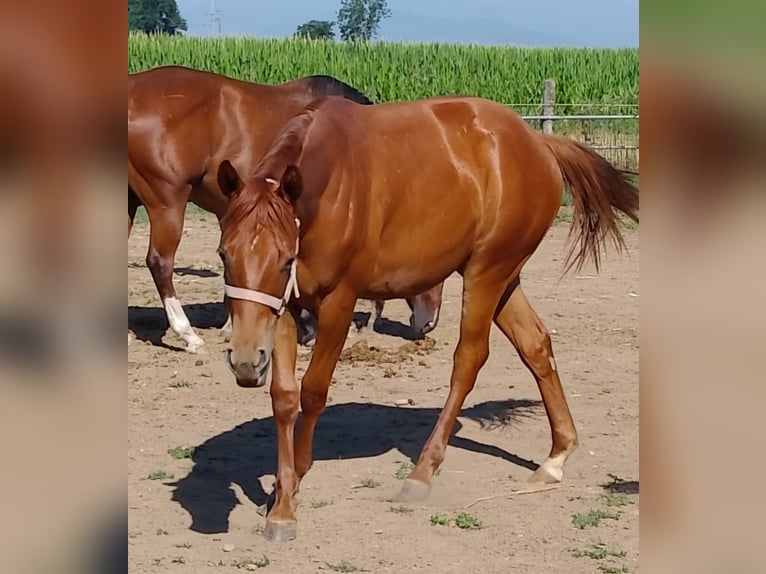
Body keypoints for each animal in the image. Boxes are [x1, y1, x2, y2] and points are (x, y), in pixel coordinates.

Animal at [215, 95, 639, 542]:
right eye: (224, 254)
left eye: (285, 259)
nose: (245, 361)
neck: (328, 185)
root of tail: (538, 143)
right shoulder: (284, 308)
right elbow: (284, 398)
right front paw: (281, 503)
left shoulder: (338, 303)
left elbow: (313, 392)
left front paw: (295, 478)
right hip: (505, 278)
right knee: (536, 345)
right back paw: (556, 457)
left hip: (486, 273)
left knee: (468, 361)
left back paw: (422, 472)